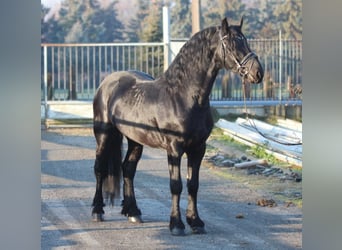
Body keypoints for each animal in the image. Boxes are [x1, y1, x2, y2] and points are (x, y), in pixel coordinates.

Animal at [91, 17, 264, 236]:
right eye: (231, 43)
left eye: (245, 40)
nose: (258, 73)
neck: (184, 96)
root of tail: (107, 83)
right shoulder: (174, 148)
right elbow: (176, 185)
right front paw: (176, 224)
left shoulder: (198, 148)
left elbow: (193, 185)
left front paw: (196, 222)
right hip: (103, 134)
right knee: (100, 169)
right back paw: (97, 211)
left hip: (135, 140)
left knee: (128, 169)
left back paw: (133, 212)